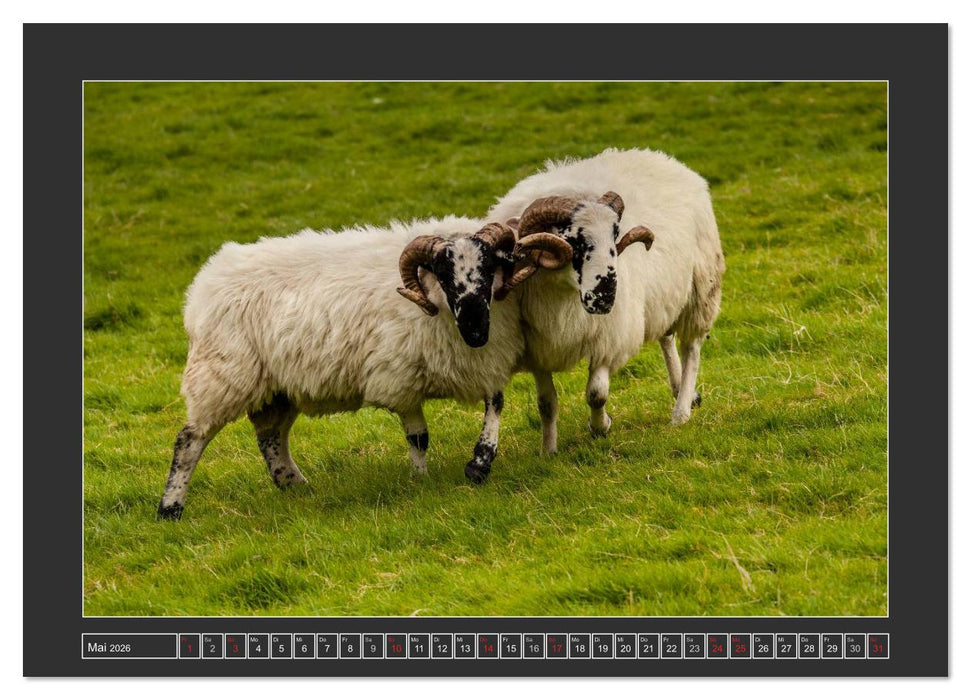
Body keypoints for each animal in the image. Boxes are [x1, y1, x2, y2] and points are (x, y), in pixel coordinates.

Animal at [157, 216, 523, 519]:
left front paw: (480, 463)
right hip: (222, 375)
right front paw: (421, 480)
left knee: (271, 436)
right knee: (189, 440)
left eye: (489, 268)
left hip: (278, 388)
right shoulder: (397, 377)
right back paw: (170, 509)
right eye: (443, 274)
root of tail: (203, 285)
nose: (476, 329)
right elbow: (418, 437)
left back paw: (296, 486)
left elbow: (496, 403)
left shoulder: (485, 364)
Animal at [487, 147, 725, 452]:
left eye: (615, 235)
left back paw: (681, 411)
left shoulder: (608, 338)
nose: (605, 296)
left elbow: (596, 393)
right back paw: (681, 389)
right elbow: (546, 404)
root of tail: (663, 158)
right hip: (663, 295)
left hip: (701, 289)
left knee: (691, 348)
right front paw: (548, 450)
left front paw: (601, 427)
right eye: (573, 240)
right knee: (666, 336)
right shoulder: (538, 349)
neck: (563, 296)